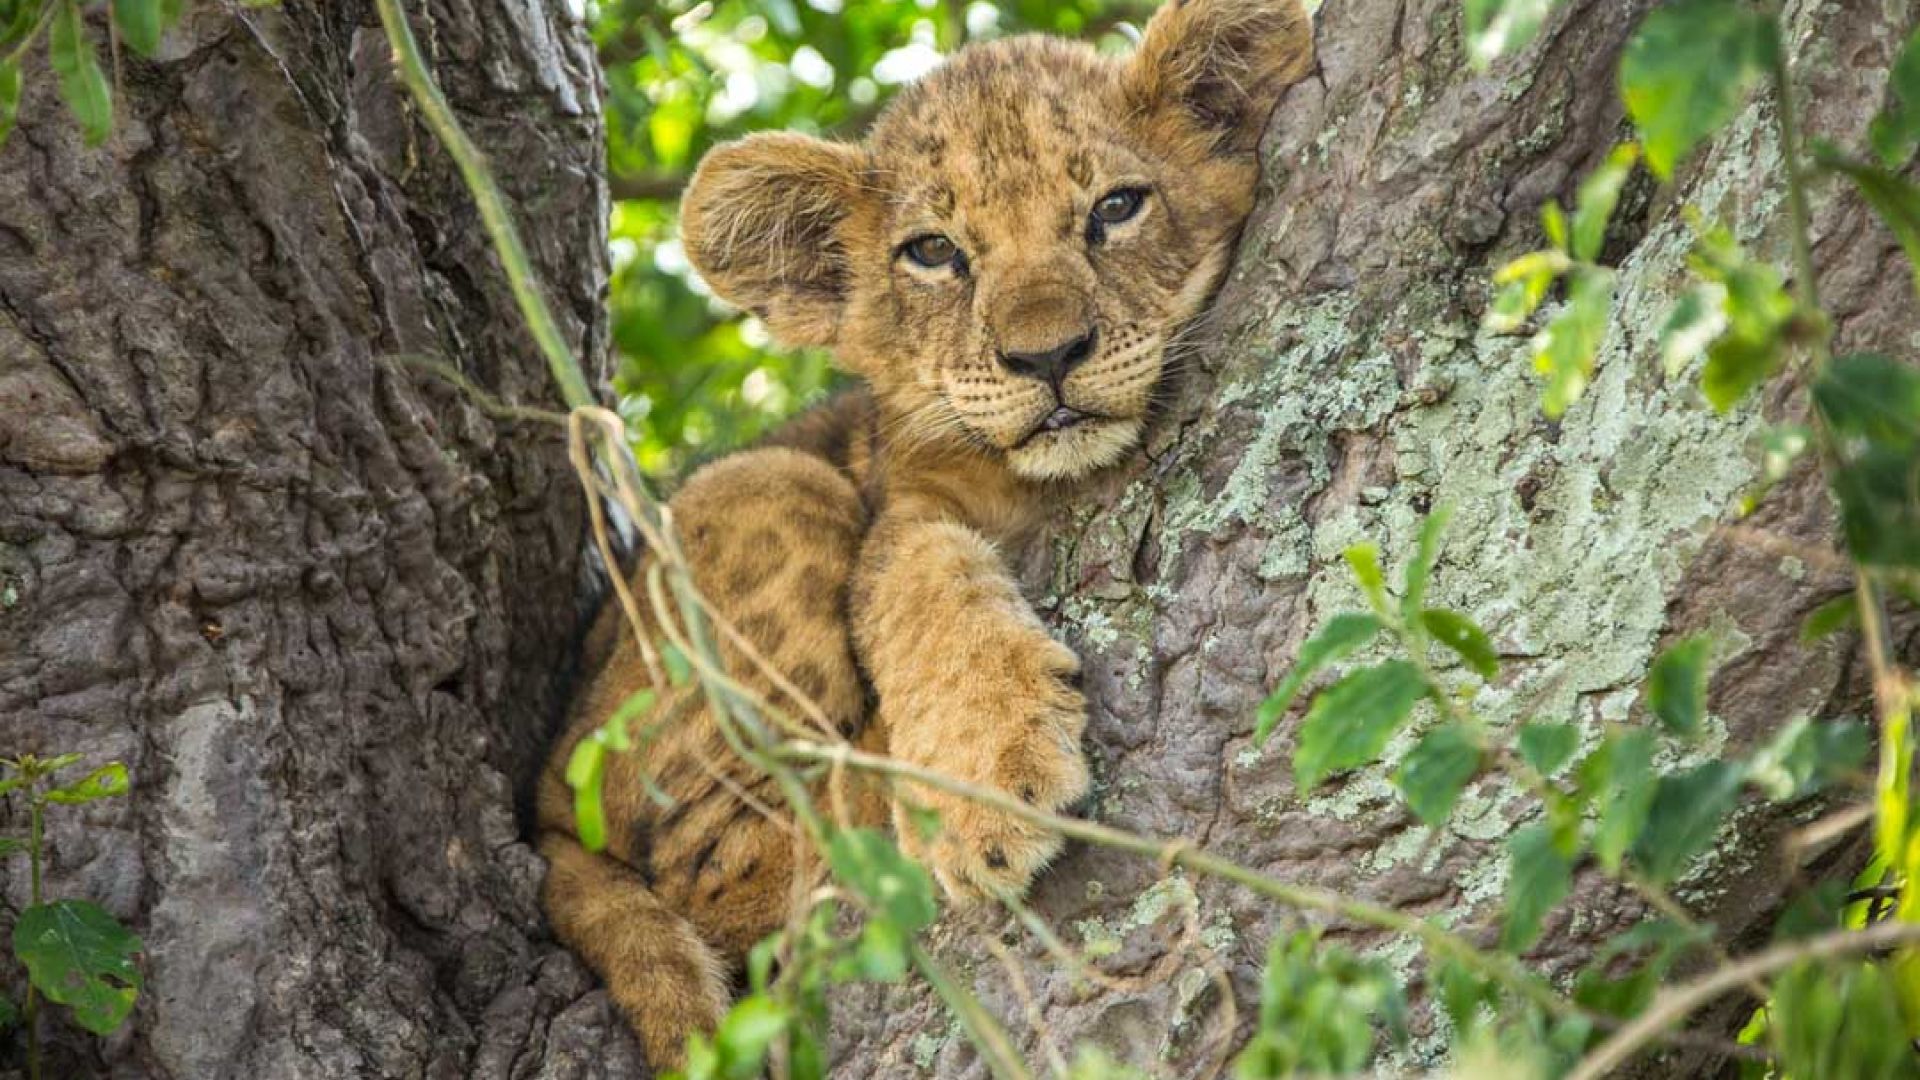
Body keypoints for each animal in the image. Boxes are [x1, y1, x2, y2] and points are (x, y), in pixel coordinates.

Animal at [537, 0, 1315, 1067]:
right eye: (935, 253)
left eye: (1116, 207)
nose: (1047, 355)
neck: (1036, 486)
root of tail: (540, 793)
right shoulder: (899, 497)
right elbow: (915, 582)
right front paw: (984, 780)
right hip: (764, 484)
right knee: (714, 863)